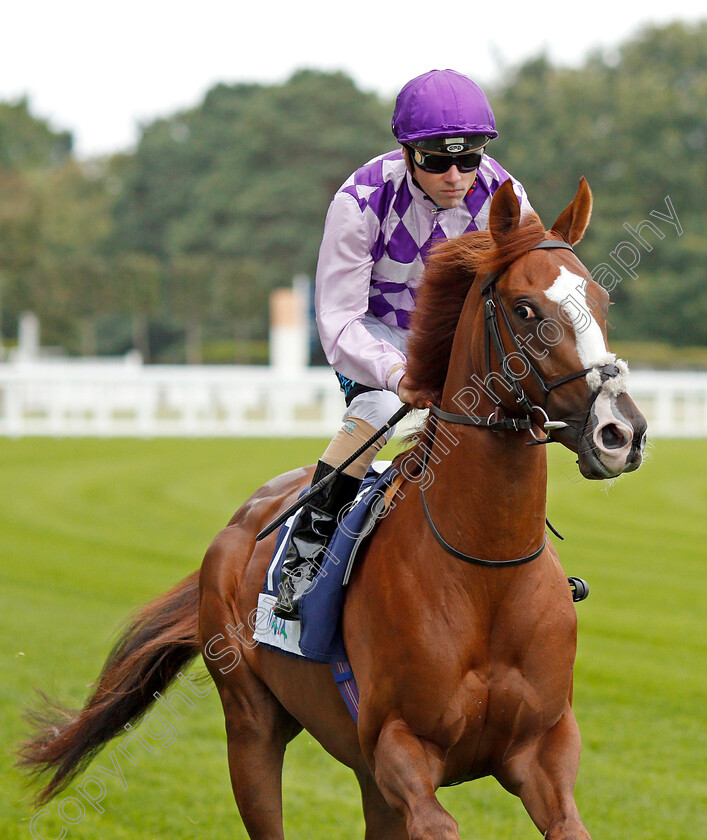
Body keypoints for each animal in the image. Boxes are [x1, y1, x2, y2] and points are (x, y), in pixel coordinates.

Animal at [19, 177, 648, 840]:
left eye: (601, 300)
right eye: (526, 309)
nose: (620, 431)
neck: (485, 573)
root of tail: (240, 521)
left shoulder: (543, 751)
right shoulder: (400, 749)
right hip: (252, 727)